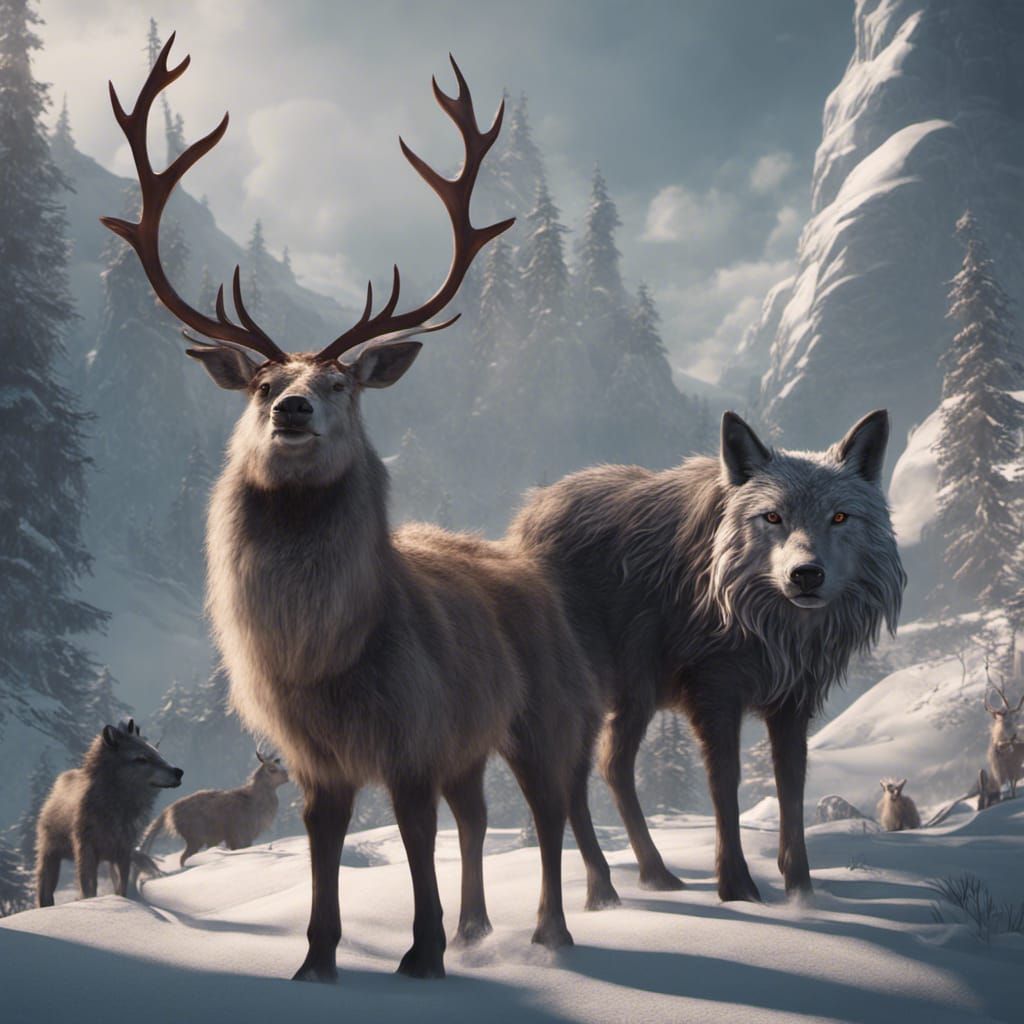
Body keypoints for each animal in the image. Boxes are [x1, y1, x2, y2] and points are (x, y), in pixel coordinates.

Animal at [35, 719, 183, 906]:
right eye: (141, 759)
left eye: (157, 753)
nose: (179, 772)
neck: (116, 811)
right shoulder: (86, 852)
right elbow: (89, 890)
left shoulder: (123, 853)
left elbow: (121, 889)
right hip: (50, 856)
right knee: (45, 892)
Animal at [101, 36, 614, 984]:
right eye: (263, 382)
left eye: (342, 382)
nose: (293, 409)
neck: (324, 660)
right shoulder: (319, 757)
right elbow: (324, 848)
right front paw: (318, 960)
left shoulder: (412, 733)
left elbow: (412, 838)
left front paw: (421, 954)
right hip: (472, 741)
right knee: (479, 815)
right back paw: (477, 929)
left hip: (544, 711)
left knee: (550, 812)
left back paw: (549, 933)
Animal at [512, 410, 905, 900]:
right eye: (772, 516)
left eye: (839, 517)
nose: (806, 574)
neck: (772, 627)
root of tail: (528, 515)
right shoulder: (716, 693)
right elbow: (724, 783)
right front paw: (736, 887)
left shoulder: (793, 702)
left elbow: (791, 785)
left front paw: (800, 890)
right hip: (594, 696)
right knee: (575, 776)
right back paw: (603, 889)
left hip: (636, 697)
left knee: (612, 765)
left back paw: (654, 875)